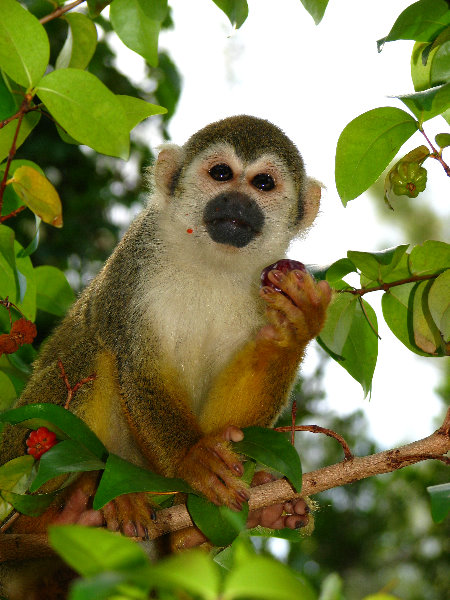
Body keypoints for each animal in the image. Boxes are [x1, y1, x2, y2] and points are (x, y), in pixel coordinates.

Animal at [0, 115, 330, 596]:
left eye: (263, 183)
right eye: (221, 174)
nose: (237, 200)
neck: (213, 261)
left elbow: (233, 431)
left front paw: (292, 331)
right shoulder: (136, 257)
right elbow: (139, 365)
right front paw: (192, 457)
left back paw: (206, 530)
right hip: (13, 454)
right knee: (93, 352)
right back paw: (56, 516)